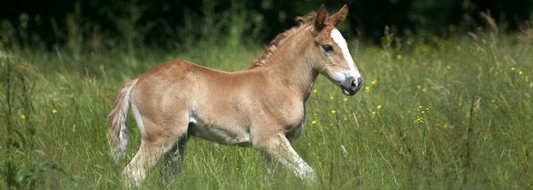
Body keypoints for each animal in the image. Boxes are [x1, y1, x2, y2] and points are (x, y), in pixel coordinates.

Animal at [106, 4, 360, 186]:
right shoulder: (270, 140)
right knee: (131, 175)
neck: (281, 84)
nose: (355, 83)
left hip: (178, 142)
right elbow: (308, 175)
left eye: (346, 44)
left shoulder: (273, 148)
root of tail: (137, 80)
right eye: (328, 47)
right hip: (159, 139)